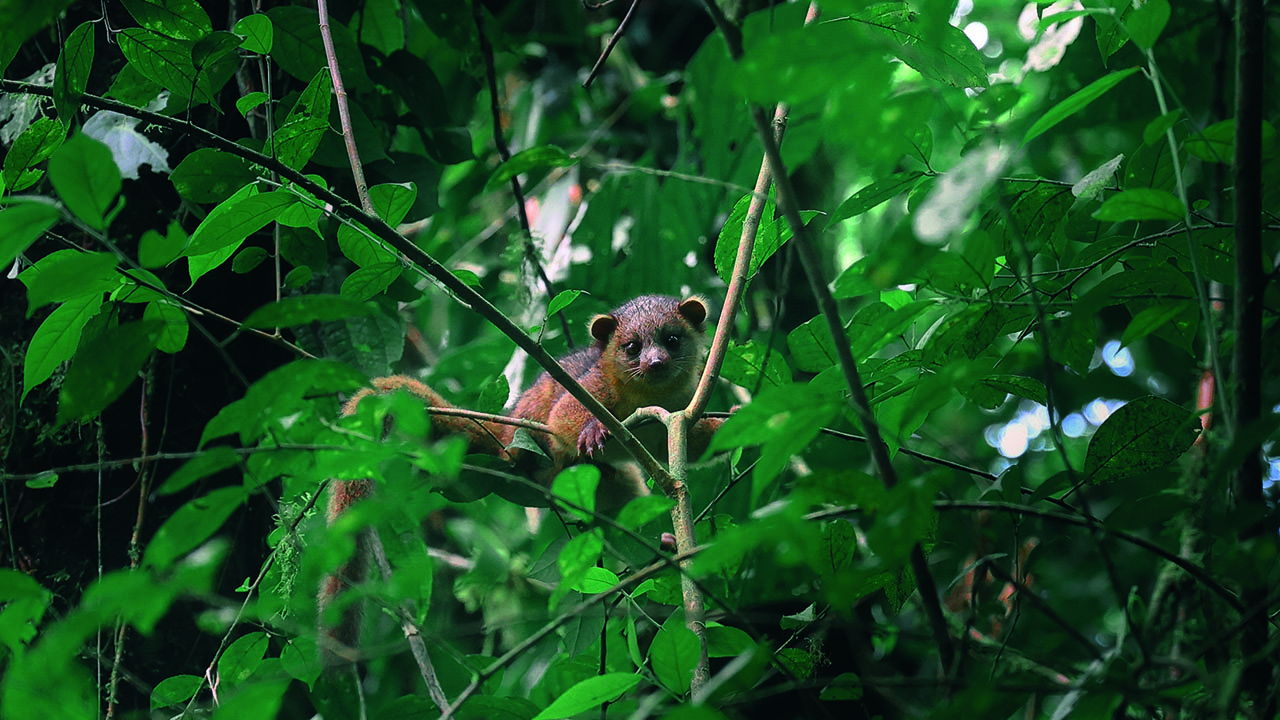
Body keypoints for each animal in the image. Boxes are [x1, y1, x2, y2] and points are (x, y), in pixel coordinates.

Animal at [318, 294, 722, 664]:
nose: (655, 362)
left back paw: (663, 543)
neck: (647, 394)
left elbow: (695, 444)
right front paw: (592, 429)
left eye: (671, 340)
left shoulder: (680, 407)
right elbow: (561, 416)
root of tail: (502, 434)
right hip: (525, 441)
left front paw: (731, 420)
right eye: (632, 347)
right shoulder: (595, 386)